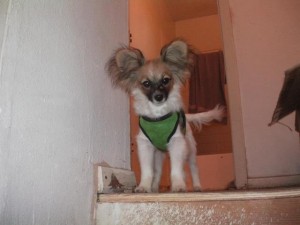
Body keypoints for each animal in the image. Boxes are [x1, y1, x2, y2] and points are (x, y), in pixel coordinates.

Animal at [106, 39, 224, 192]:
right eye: (146, 83)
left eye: (165, 80)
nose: (158, 97)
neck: (158, 117)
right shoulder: (145, 145)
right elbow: (148, 171)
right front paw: (144, 187)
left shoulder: (177, 143)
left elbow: (176, 170)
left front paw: (178, 185)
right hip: (158, 155)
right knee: (158, 172)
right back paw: (154, 188)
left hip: (190, 150)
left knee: (193, 169)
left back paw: (197, 186)